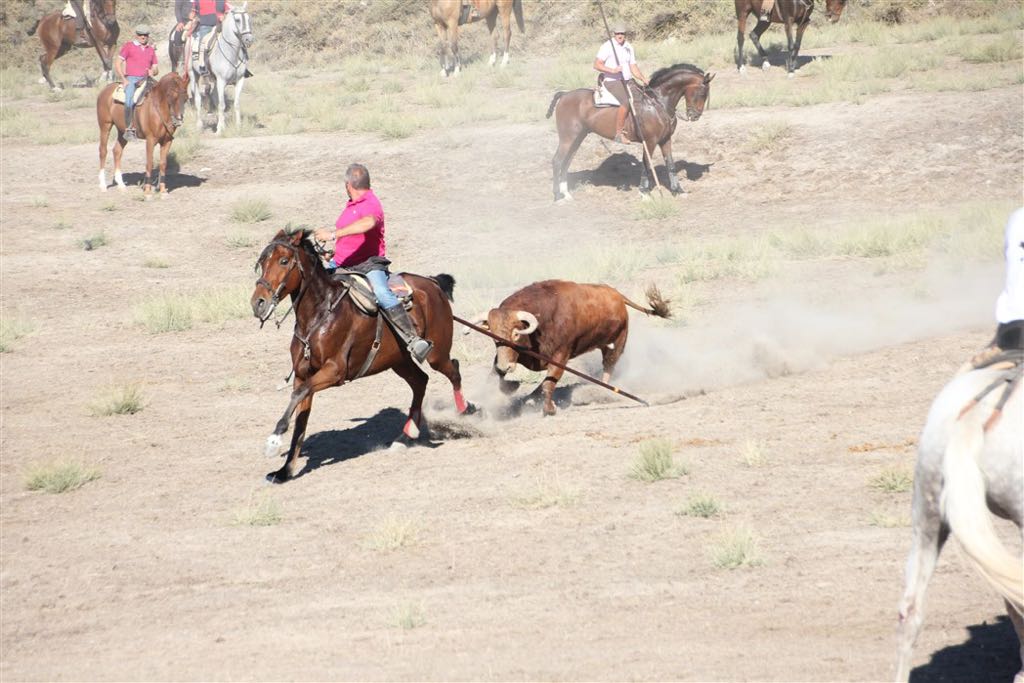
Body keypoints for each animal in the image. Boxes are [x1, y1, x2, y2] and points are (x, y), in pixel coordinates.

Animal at [192, 3, 256, 134]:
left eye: (248, 19)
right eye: (237, 20)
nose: (249, 39)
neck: (232, 52)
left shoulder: (239, 80)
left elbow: (236, 103)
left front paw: (238, 126)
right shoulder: (221, 81)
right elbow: (222, 105)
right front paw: (219, 131)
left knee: (214, 97)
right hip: (194, 75)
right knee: (198, 100)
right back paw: (200, 125)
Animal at [251, 231, 475, 485]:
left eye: (284, 261)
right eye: (262, 263)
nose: (258, 303)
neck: (319, 315)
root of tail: (433, 282)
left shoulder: (334, 371)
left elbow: (298, 396)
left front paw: (274, 439)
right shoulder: (302, 375)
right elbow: (300, 419)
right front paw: (284, 472)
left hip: (437, 354)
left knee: (453, 369)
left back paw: (465, 409)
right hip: (399, 361)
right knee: (421, 381)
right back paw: (405, 436)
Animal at [473, 278, 671, 417]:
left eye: (515, 334)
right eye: (493, 335)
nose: (505, 367)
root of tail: (616, 294)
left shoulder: (561, 355)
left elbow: (549, 383)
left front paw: (549, 409)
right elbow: (495, 377)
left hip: (617, 343)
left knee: (609, 366)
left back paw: (601, 391)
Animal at [552, 62, 712, 201]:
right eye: (702, 93)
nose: (695, 116)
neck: (658, 103)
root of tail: (564, 95)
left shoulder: (665, 139)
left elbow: (670, 164)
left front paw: (677, 190)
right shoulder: (650, 142)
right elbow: (647, 165)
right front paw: (644, 192)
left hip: (578, 137)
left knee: (567, 161)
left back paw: (566, 193)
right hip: (568, 138)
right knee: (558, 161)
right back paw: (558, 196)